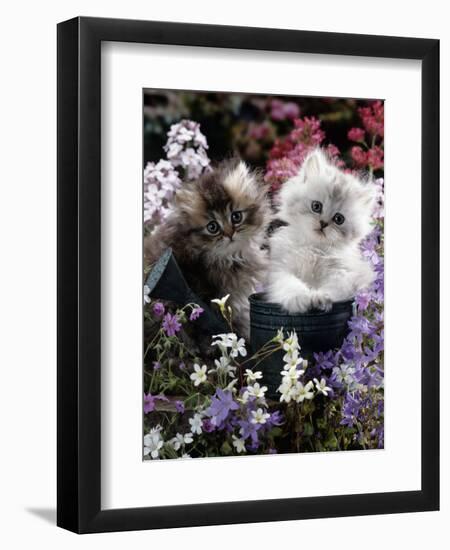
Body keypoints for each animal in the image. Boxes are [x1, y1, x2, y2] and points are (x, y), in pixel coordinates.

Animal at [268, 149, 376, 314]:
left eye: (338, 219)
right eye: (316, 206)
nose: (323, 223)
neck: (314, 248)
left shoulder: (344, 275)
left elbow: (333, 289)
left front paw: (320, 298)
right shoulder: (281, 270)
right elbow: (291, 285)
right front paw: (301, 299)